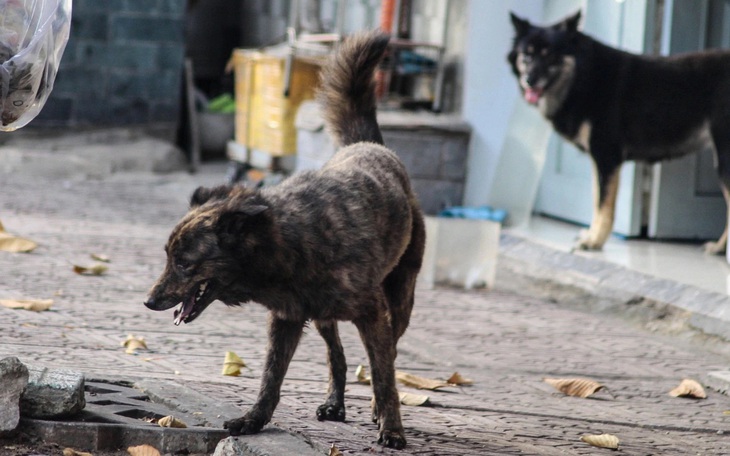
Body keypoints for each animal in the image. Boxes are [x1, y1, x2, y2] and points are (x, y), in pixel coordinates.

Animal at [143, 31, 424, 448]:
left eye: (183, 263)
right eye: (166, 256)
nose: (148, 301)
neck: (286, 243)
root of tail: (369, 146)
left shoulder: (373, 315)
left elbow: (384, 376)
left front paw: (391, 429)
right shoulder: (287, 319)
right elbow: (270, 378)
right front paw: (253, 420)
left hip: (399, 302)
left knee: (386, 358)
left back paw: (375, 411)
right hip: (324, 317)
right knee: (337, 357)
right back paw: (334, 404)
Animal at [506, 10, 728, 253]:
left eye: (549, 55)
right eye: (526, 56)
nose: (529, 80)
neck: (584, 75)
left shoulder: (606, 156)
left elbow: (604, 206)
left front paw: (594, 241)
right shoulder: (600, 161)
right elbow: (597, 200)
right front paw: (592, 235)